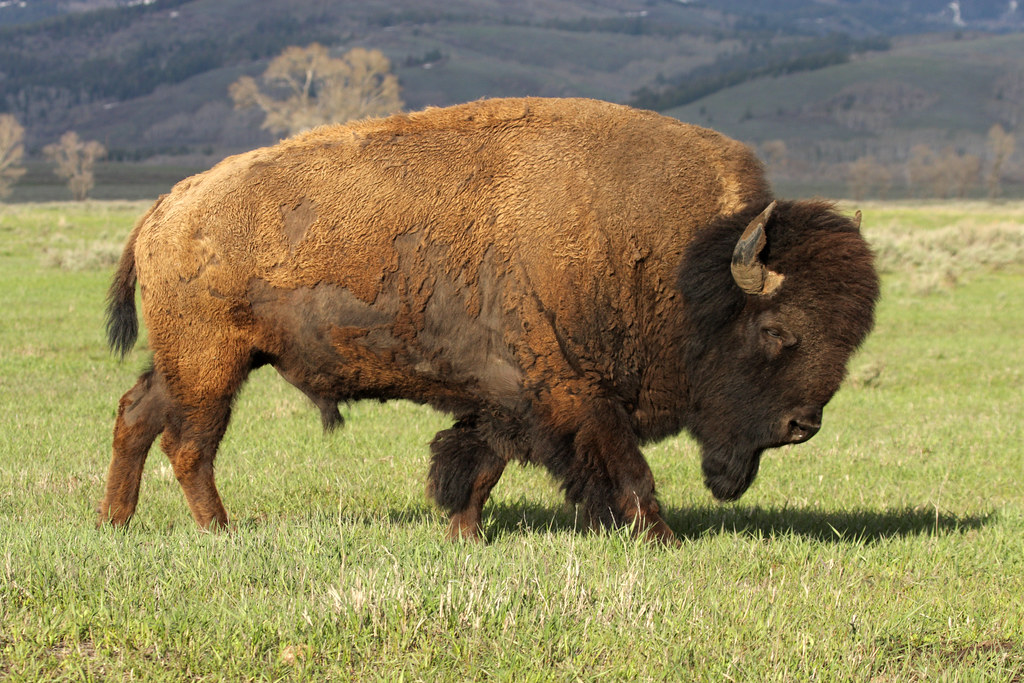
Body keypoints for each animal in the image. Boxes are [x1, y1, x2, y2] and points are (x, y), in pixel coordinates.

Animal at [100, 97, 879, 543]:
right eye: (778, 331)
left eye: (851, 337)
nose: (802, 425)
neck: (683, 264)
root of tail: (167, 207)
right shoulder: (572, 393)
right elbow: (627, 471)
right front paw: (661, 538)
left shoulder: (506, 397)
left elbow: (476, 465)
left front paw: (463, 535)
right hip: (212, 364)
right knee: (188, 444)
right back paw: (220, 532)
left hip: (188, 361)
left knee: (136, 414)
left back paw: (116, 522)